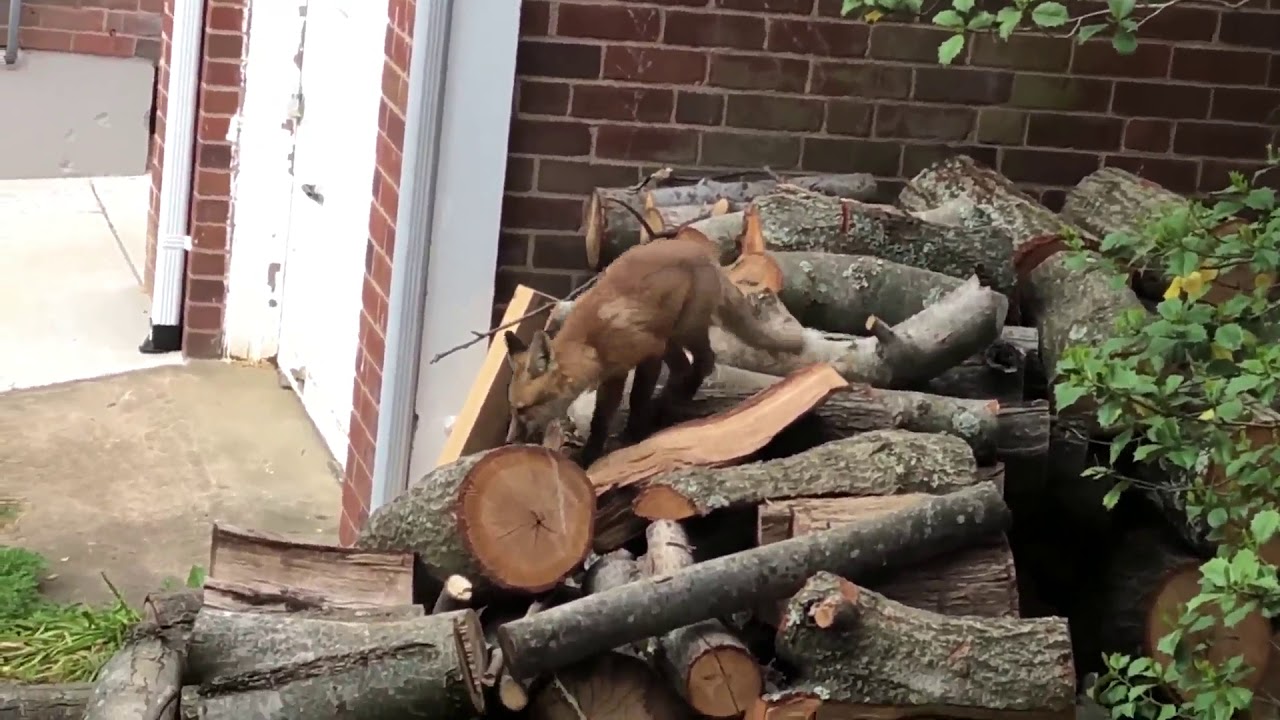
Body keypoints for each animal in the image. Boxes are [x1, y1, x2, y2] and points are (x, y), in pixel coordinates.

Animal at [503, 236, 807, 467]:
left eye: (523, 409)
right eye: (512, 408)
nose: (508, 441)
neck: (591, 343)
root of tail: (708, 257)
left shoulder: (647, 354)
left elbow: (637, 398)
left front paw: (631, 435)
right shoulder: (614, 374)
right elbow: (600, 420)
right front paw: (590, 455)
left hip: (682, 332)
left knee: (705, 362)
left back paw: (670, 402)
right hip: (669, 339)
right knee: (685, 368)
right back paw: (666, 403)